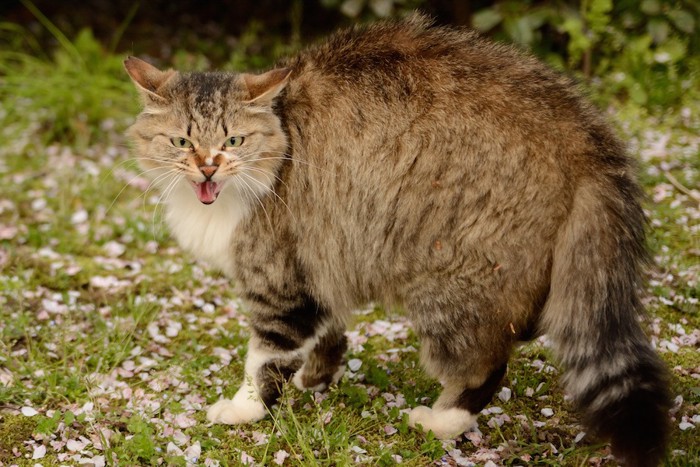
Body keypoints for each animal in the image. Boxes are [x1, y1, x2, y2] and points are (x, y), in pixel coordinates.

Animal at [124, 12, 672, 466]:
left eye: (233, 141)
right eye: (181, 142)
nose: (207, 166)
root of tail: (585, 135)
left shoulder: (278, 279)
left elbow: (263, 359)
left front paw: (246, 409)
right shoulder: (324, 256)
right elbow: (328, 332)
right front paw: (317, 377)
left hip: (450, 282)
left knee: (487, 365)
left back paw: (440, 421)